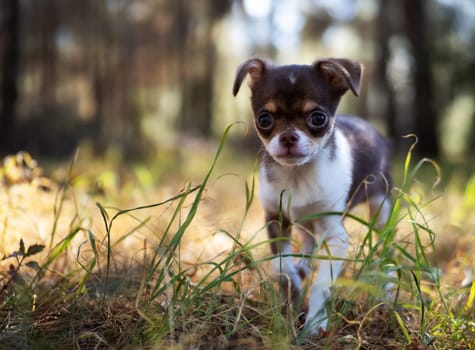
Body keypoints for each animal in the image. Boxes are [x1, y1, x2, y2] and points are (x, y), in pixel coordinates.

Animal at [232, 58, 392, 336]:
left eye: (318, 118)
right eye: (264, 119)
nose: (288, 136)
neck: (297, 175)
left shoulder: (336, 237)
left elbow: (322, 284)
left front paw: (316, 322)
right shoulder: (276, 219)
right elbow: (281, 267)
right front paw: (293, 285)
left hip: (381, 209)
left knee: (385, 247)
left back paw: (388, 285)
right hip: (304, 223)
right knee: (308, 245)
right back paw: (302, 267)